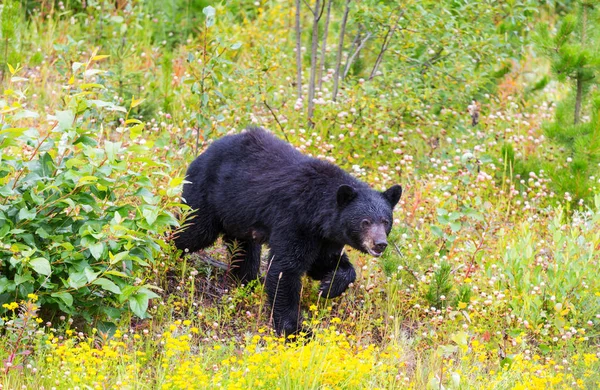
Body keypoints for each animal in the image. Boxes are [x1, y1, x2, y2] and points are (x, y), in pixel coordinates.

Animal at [173, 128, 400, 336]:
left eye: (386, 221)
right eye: (365, 222)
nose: (380, 244)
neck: (318, 211)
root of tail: (204, 151)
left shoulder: (325, 237)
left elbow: (324, 263)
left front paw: (329, 286)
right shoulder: (295, 221)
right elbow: (286, 269)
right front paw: (296, 330)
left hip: (239, 216)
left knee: (244, 250)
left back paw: (248, 280)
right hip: (208, 194)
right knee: (193, 230)